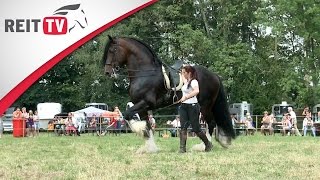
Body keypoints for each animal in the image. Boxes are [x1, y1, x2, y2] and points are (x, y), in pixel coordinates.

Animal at [102, 35, 235, 148]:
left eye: (112, 50)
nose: (107, 72)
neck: (144, 73)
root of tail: (214, 75)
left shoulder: (146, 103)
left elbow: (127, 114)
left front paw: (138, 130)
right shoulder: (142, 107)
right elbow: (147, 126)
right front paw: (150, 147)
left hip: (205, 106)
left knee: (211, 123)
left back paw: (204, 146)